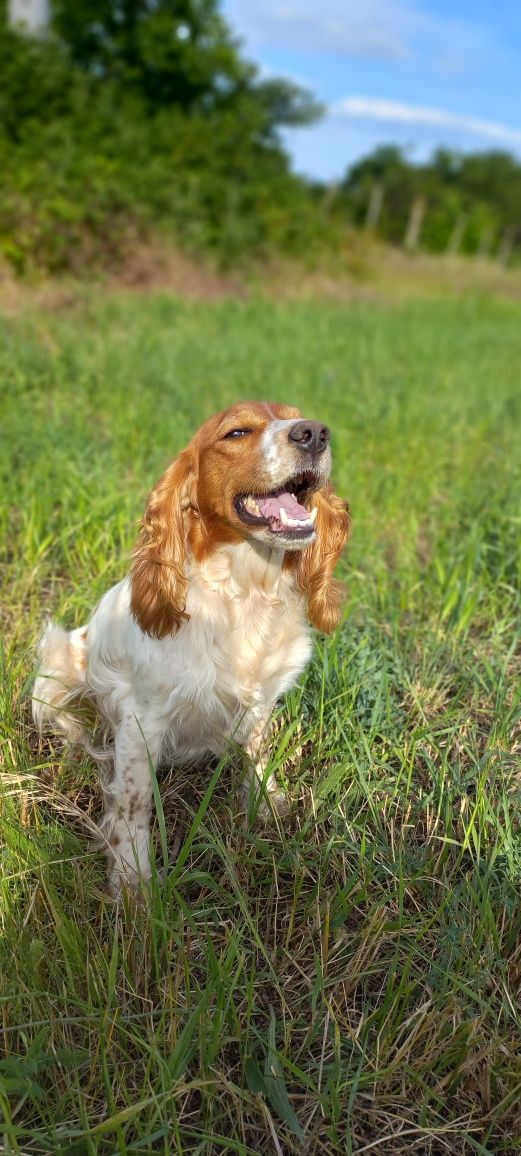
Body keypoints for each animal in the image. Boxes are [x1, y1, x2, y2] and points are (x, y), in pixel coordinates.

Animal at [31, 402, 351, 897]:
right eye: (236, 432)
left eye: (298, 416)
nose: (314, 433)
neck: (244, 592)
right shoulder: (141, 719)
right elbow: (134, 804)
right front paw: (134, 884)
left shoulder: (261, 701)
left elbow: (257, 756)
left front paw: (266, 806)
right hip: (57, 659)